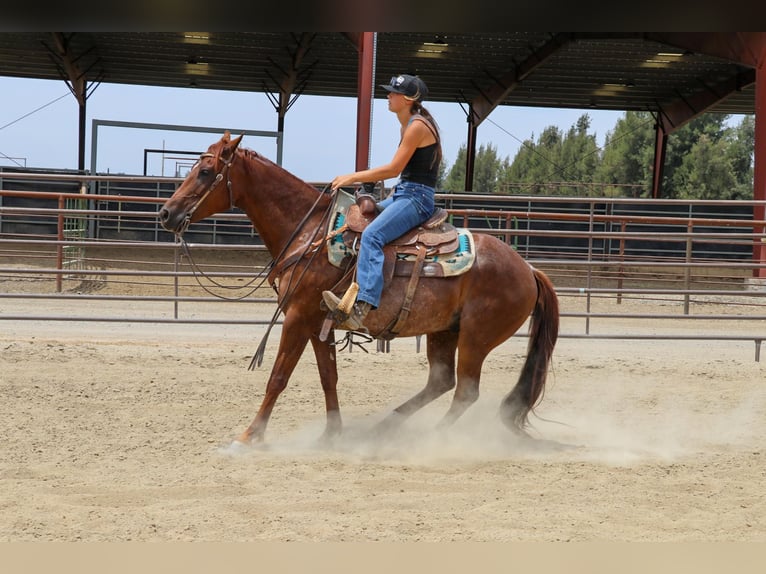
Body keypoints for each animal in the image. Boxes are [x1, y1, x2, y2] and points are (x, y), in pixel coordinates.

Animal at [158, 131, 559, 445]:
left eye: (205, 171)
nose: (165, 213)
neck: (309, 232)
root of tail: (528, 269)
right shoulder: (316, 323)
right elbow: (329, 378)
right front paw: (332, 435)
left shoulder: (298, 318)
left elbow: (278, 377)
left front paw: (249, 436)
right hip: (444, 330)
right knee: (441, 381)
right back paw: (383, 429)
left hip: (476, 337)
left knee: (465, 391)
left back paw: (431, 439)